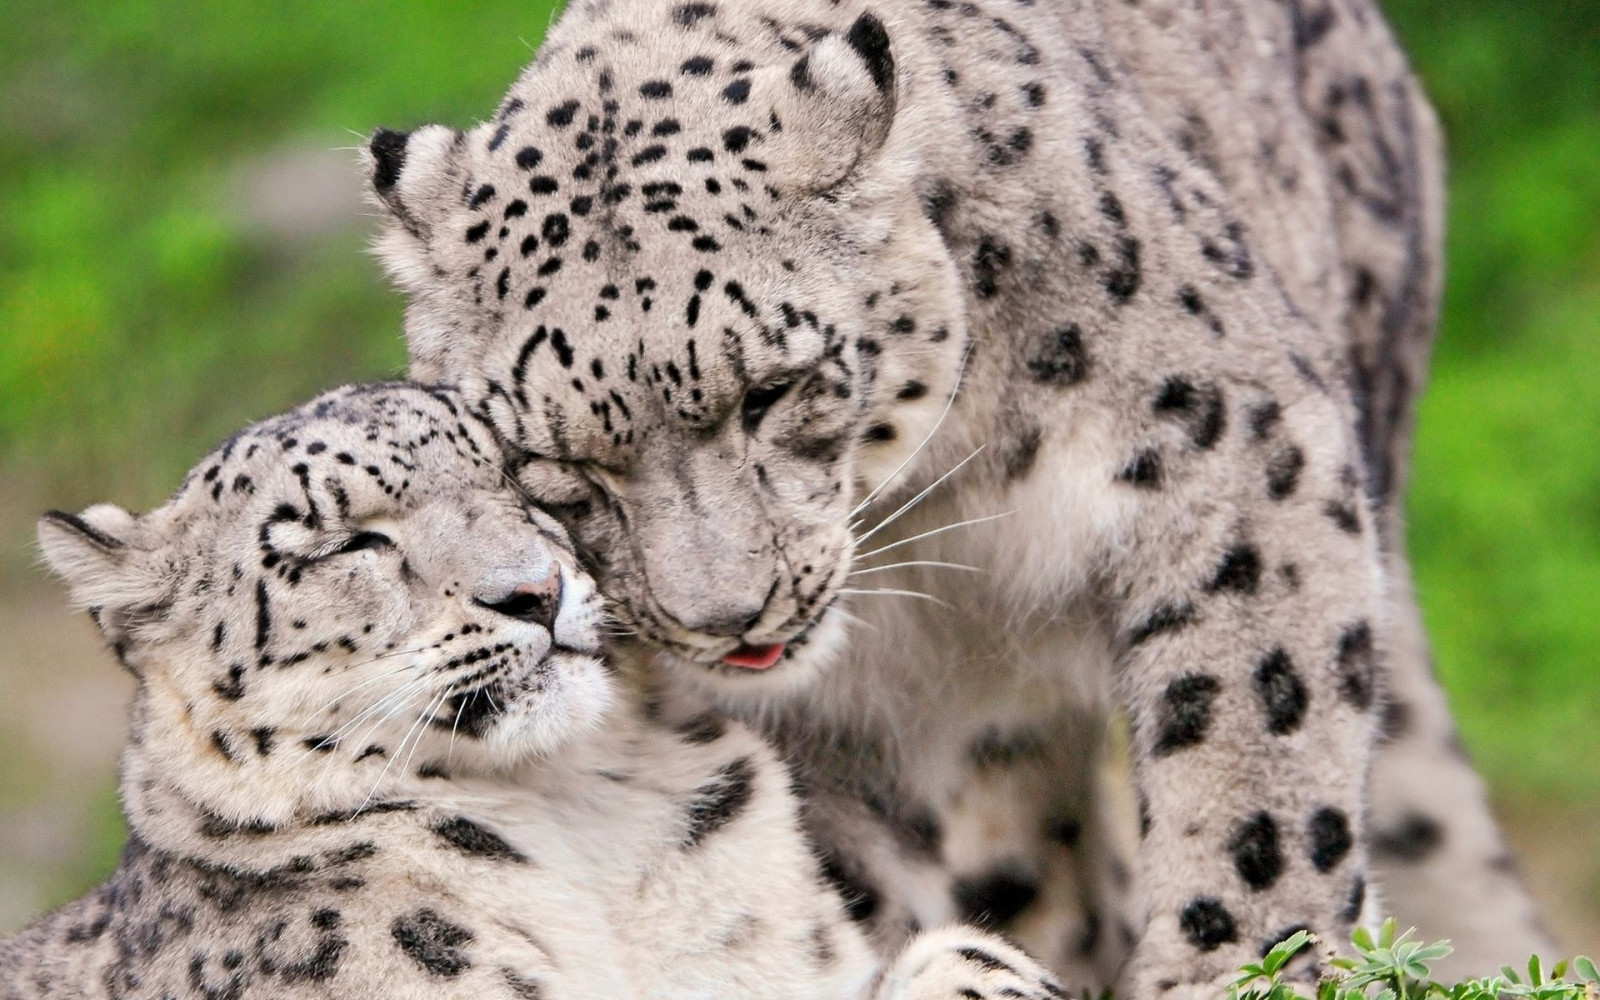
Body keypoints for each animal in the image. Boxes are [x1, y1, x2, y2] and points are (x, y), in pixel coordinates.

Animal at [362, 0, 1553, 994]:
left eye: (771, 390)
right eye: (553, 467)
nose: (726, 616)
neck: (940, 513)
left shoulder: (1232, 449)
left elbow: (1260, 758)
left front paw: (1234, 963)